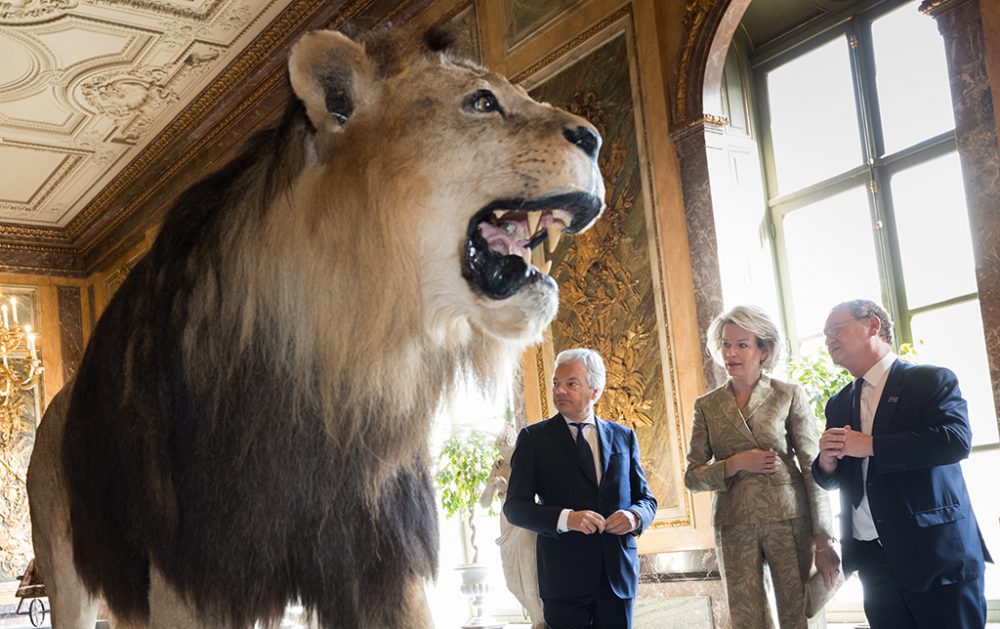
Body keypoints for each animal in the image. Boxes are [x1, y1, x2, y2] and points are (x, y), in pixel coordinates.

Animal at [25, 22, 600, 624]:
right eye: (482, 102)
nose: (594, 139)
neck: (339, 371)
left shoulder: (380, 563)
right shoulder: (191, 578)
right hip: (66, 575)